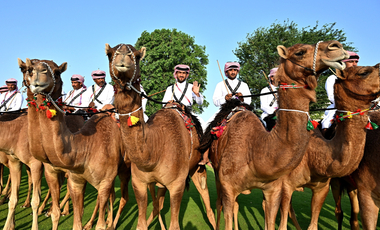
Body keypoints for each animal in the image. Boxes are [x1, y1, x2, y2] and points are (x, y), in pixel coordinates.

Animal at [21, 58, 129, 230]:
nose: (37, 76)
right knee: (112, 197)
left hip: (127, 169)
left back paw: (111, 224)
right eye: (27, 69)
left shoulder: (104, 182)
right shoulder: (75, 180)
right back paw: (95, 222)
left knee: (125, 198)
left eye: (57, 72)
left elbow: (100, 224)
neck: (85, 147)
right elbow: (71, 220)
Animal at [105, 43, 215, 230]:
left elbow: (175, 225)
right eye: (110, 53)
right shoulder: (139, 183)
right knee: (159, 205)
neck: (154, 150)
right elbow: (141, 223)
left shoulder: (177, 185)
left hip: (198, 168)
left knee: (208, 205)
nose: (123, 55)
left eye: (137, 55)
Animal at [199, 40, 350, 229]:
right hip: (217, 173)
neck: (255, 151)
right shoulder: (228, 186)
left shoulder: (274, 190)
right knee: (220, 203)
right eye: (299, 52)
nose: (336, 46)